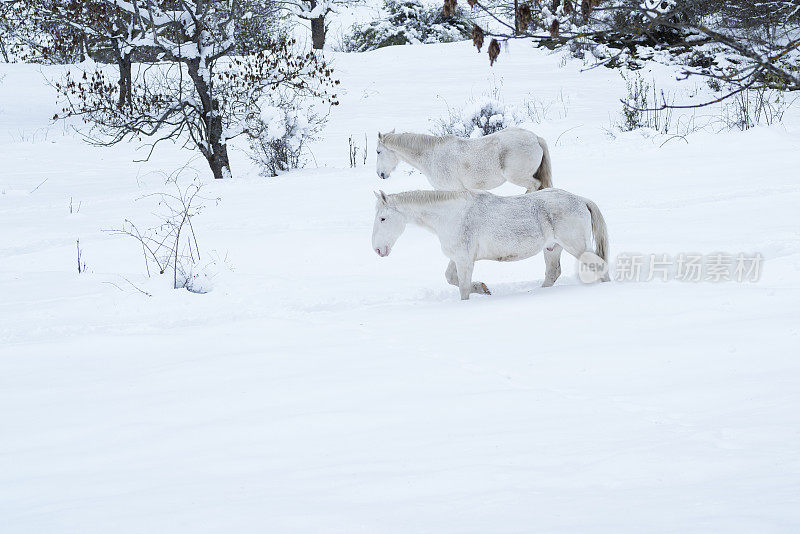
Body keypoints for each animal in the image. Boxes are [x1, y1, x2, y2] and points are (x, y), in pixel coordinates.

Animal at [372, 188, 608, 300]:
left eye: (382, 218)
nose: (377, 249)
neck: (452, 215)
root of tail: (580, 199)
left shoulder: (465, 260)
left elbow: (463, 288)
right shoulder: (458, 257)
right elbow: (451, 278)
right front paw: (484, 288)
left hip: (576, 246)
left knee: (598, 266)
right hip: (552, 248)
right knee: (552, 273)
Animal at [376, 127, 552, 193]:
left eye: (378, 151)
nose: (380, 174)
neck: (431, 155)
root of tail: (535, 138)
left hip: (518, 177)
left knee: (534, 186)